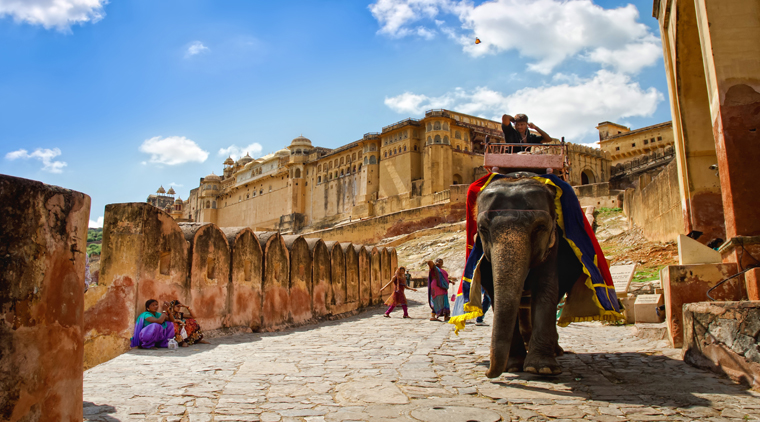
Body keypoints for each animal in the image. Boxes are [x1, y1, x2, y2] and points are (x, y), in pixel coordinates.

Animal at [476, 174, 584, 378]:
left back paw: (554, 351)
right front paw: (512, 366)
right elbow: (494, 291)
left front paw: (542, 368)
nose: (487, 373)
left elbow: (546, 288)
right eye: (483, 229)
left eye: (540, 228)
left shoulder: (552, 244)